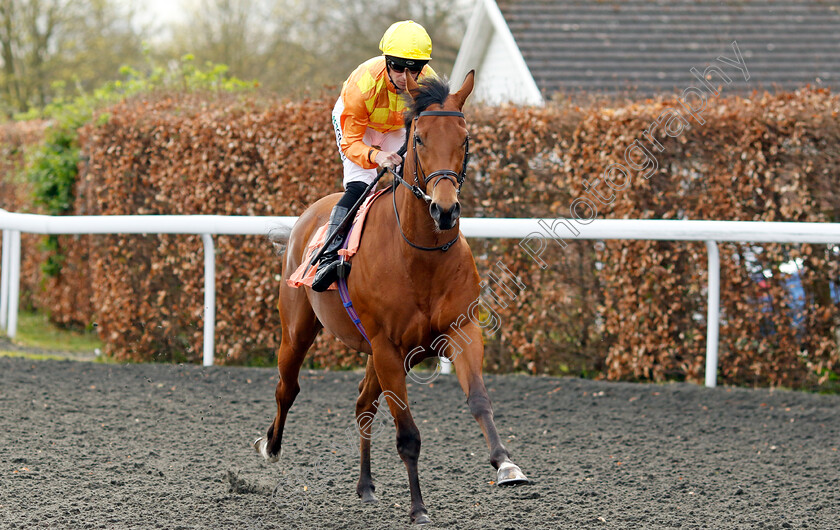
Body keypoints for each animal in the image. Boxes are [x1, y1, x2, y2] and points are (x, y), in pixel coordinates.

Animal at [256, 71, 528, 524]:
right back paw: (271, 446)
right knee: (287, 388)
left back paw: (365, 485)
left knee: (363, 405)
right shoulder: (387, 347)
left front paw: (506, 464)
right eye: (419, 138)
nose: (444, 210)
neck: (420, 256)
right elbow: (407, 436)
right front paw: (418, 508)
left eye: (465, 138)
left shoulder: (460, 332)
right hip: (298, 332)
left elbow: (479, 401)